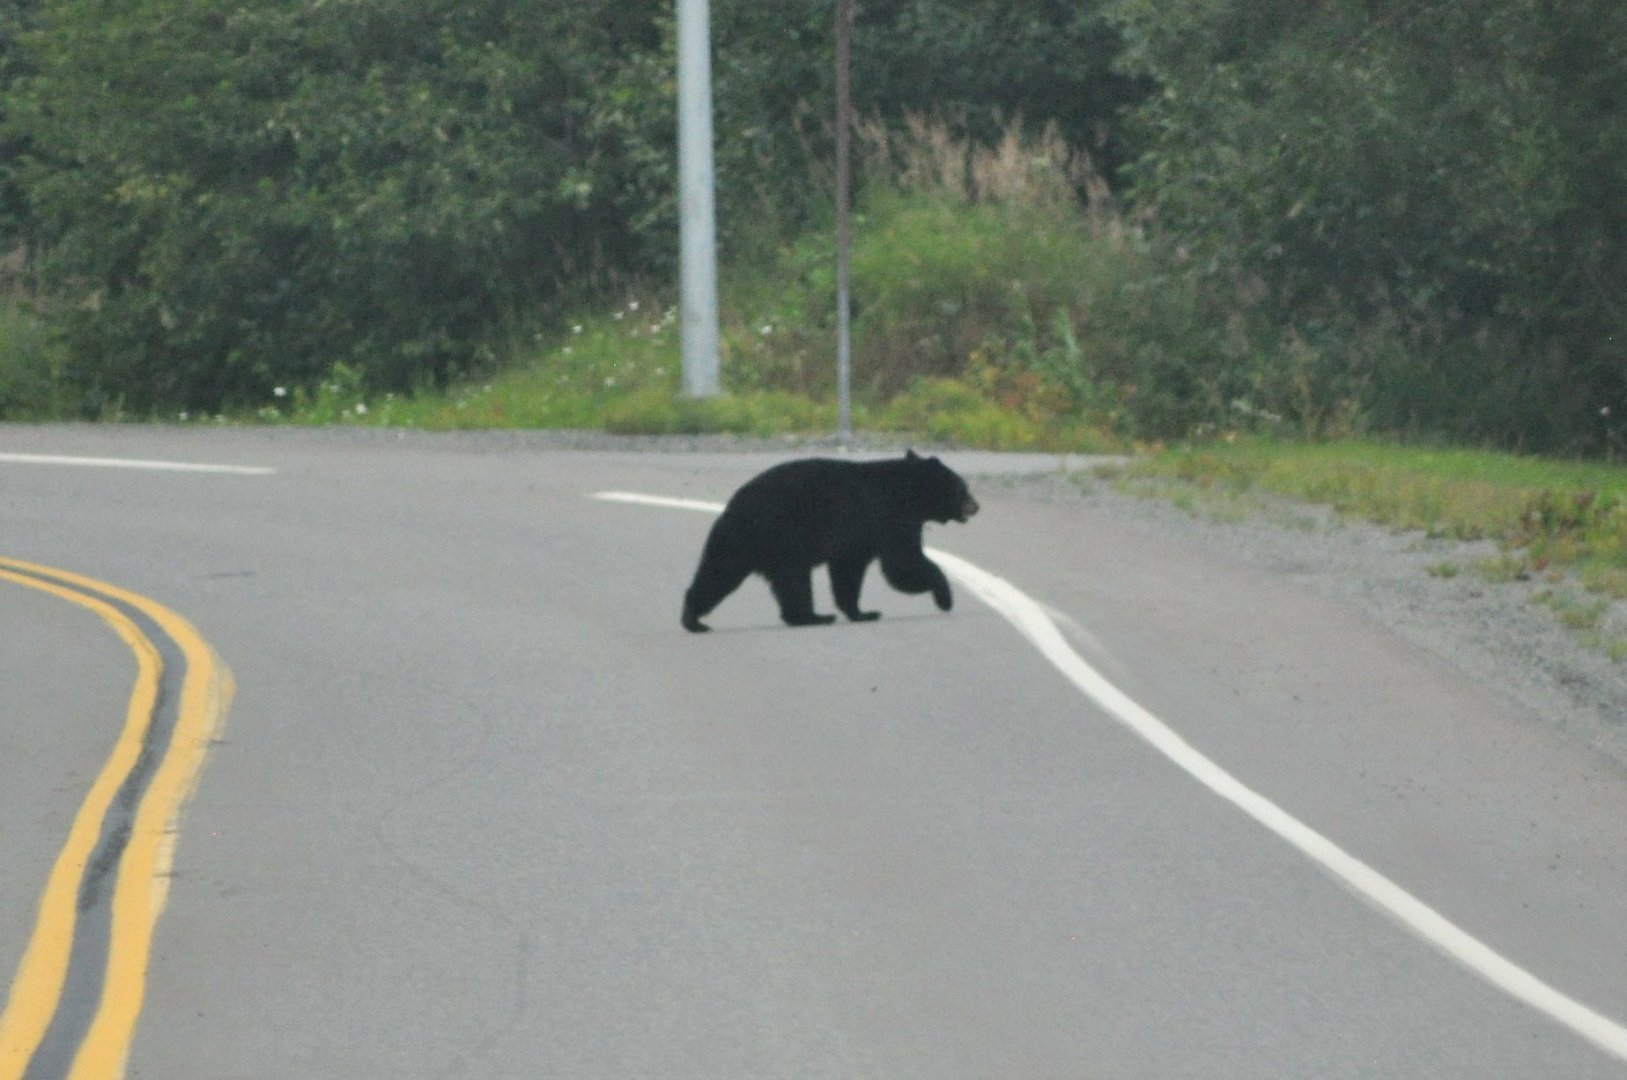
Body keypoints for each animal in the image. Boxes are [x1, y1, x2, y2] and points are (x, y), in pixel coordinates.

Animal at [681, 450, 979, 632]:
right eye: (963, 487)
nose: (976, 506)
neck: (909, 493)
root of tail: (733, 507)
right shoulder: (891, 518)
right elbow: (903, 564)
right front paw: (945, 598)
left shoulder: (857, 541)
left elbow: (848, 573)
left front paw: (862, 612)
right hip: (781, 537)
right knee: (791, 580)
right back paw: (812, 617)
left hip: (738, 542)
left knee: (717, 574)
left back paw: (693, 619)